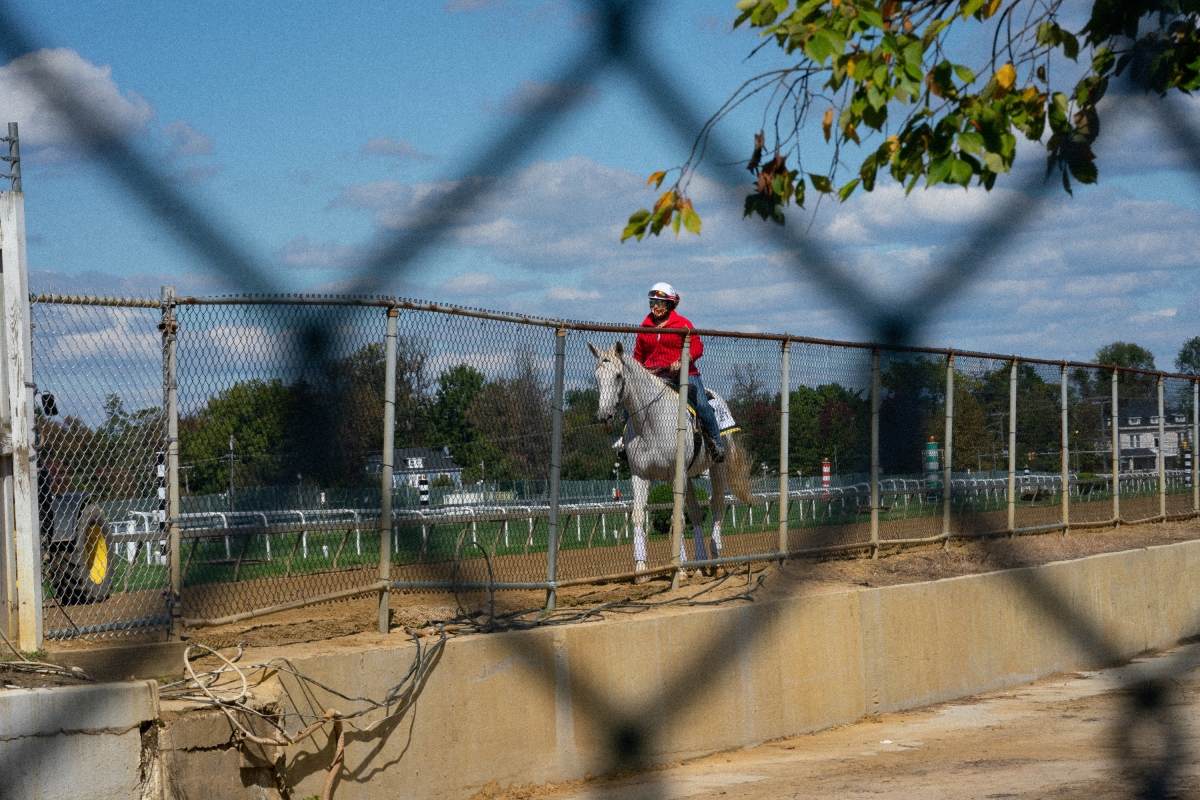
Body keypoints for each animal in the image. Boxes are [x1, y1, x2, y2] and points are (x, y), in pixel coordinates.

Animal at [588, 341, 754, 581]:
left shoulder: (677, 474)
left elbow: (678, 518)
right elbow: (639, 516)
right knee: (695, 512)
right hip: (687, 477)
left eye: (618, 376)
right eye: (597, 377)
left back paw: (716, 561)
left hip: (716, 468)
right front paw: (641, 569)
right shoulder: (642, 476)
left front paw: (680, 569)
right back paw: (700, 564)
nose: (604, 416)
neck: (650, 421)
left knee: (716, 506)